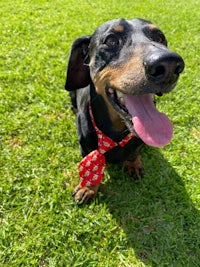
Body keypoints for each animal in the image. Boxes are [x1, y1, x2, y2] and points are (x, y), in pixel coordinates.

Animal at [65, 18, 184, 203]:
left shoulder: (137, 143)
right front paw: (88, 188)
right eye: (111, 41)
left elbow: (134, 153)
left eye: (160, 37)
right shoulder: (85, 148)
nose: (169, 64)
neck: (115, 135)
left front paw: (134, 165)